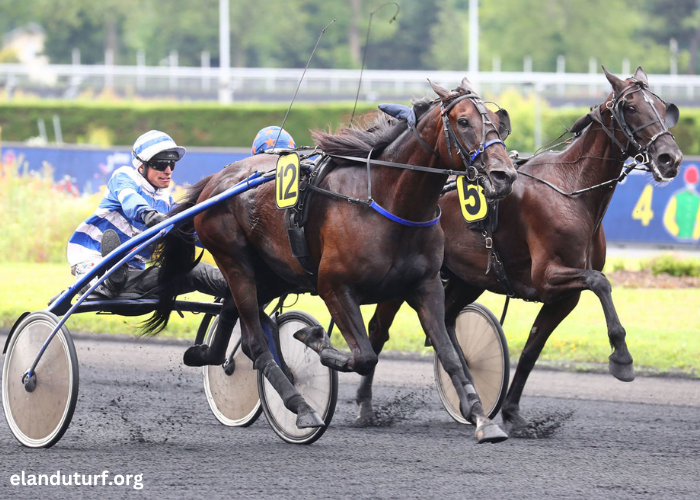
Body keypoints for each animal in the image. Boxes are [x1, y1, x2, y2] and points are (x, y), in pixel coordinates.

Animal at [142, 77, 520, 442]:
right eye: (463, 121)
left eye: (497, 122)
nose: (504, 175)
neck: (387, 202)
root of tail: (216, 180)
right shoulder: (334, 286)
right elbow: (364, 355)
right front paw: (315, 340)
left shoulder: (425, 286)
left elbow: (450, 355)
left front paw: (482, 418)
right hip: (235, 261)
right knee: (256, 342)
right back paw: (302, 408)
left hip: (273, 273)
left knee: (236, 320)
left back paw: (207, 355)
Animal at [358, 66, 680, 434]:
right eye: (631, 107)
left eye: (661, 106)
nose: (670, 158)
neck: (572, 189)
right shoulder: (548, 276)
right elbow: (601, 283)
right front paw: (622, 358)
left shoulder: (564, 296)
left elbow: (531, 351)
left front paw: (512, 413)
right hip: (405, 278)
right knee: (379, 330)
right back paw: (366, 406)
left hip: (467, 278)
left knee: (447, 321)